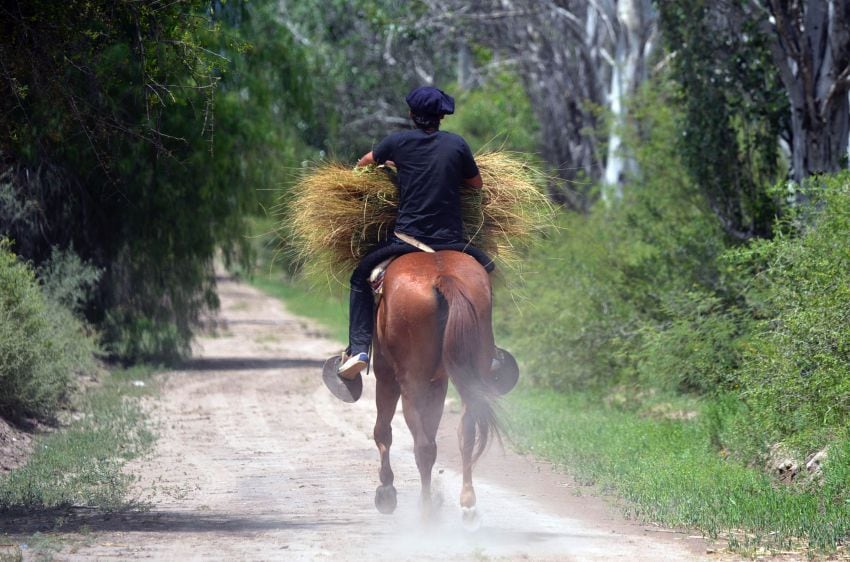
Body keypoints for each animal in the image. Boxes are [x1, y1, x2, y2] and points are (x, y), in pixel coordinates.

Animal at [368, 249, 512, 520]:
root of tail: (443, 277)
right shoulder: (438, 382)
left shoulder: (386, 375)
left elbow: (383, 430)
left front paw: (386, 491)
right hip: (470, 373)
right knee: (465, 434)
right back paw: (467, 502)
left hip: (410, 381)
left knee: (423, 447)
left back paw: (426, 512)